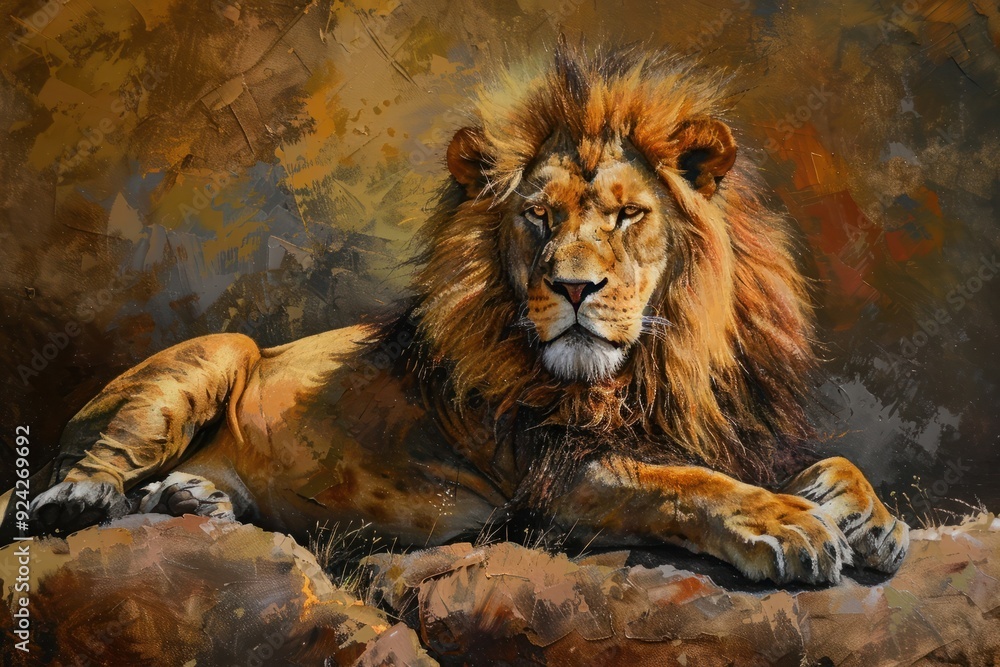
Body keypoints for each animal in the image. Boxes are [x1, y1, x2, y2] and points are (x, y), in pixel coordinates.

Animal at [7, 45, 908, 584]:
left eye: (626, 215)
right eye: (539, 217)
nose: (574, 288)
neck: (655, 369)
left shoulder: (727, 429)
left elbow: (828, 465)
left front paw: (872, 518)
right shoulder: (553, 477)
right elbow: (685, 483)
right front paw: (787, 524)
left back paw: (196, 498)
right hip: (217, 350)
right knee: (75, 475)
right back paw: (87, 500)